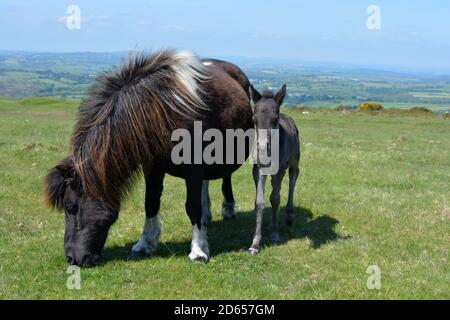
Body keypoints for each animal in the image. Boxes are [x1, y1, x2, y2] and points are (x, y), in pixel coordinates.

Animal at [44, 49, 253, 264]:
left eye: (70, 207)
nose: (71, 258)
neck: (164, 111)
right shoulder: (152, 167)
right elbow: (151, 202)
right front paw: (146, 243)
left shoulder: (193, 169)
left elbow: (192, 206)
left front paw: (198, 250)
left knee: (225, 177)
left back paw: (228, 208)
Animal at [248, 84, 300, 255]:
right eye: (253, 119)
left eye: (275, 119)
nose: (263, 149)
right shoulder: (258, 169)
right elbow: (259, 202)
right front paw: (255, 244)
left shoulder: (280, 169)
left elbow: (275, 199)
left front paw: (275, 235)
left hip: (294, 161)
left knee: (294, 177)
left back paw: (289, 216)